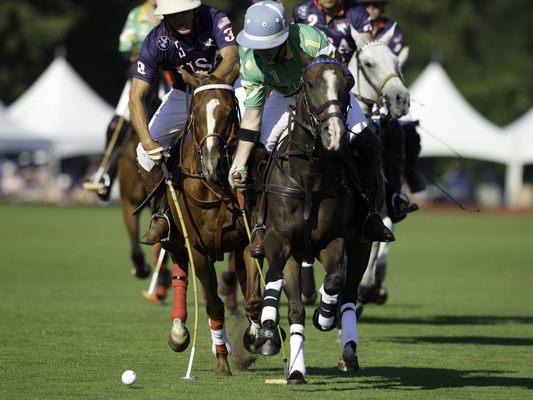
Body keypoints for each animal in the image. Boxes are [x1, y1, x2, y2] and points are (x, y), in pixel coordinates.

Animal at [162, 73, 262, 376]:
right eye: (195, 113)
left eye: (229, 113)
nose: (212, 163)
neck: (215, 189)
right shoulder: (198, 250)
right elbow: (214, 307)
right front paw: (221, 363)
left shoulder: (247, 241)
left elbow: (253, 298)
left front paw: (254, 338)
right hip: (177, 239)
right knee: (181, 271)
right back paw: (180, 332)